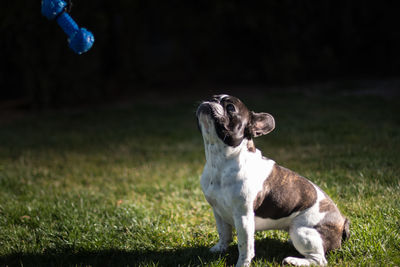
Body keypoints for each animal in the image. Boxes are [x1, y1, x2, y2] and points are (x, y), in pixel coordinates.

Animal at [197, 95, 350, 266]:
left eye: (230, 107)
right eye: (212, 97)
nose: (210, 101)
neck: (219, 161)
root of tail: (342, 222)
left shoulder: (243, 217)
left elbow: (245, 246)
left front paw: (242, 264)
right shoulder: (217, 211)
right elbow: (223, 232)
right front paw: (220, 249)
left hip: (301, 230)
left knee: (319, 260)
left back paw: (294, 261)